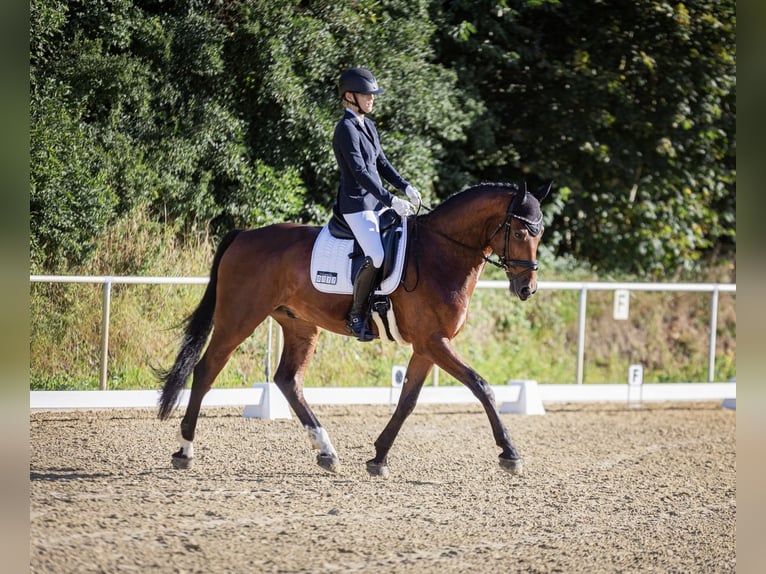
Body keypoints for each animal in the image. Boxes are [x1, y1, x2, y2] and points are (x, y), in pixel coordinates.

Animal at [156, 182, 552, 480]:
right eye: (520, 231)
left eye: (541, 232)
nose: (527, 289)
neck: (442, 253)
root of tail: (245, 236)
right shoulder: (434, 342)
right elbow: (482, 387)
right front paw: (510, 453)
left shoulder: (427, 346)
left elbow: (408, 400)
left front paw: (378, 457)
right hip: (238, 317)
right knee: (206, 370)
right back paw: (184, 450)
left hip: (300, 324)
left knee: (288, 380)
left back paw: (326, 451)